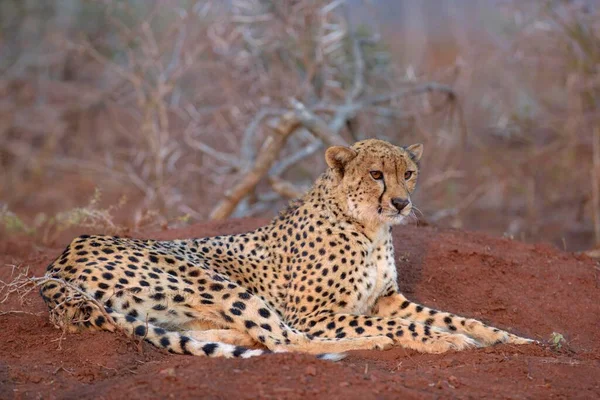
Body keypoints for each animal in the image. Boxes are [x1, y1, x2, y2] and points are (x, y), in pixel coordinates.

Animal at [39, 138, 532, 360]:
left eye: (407, 173)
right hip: (208, 278)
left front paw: (511, 338)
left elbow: (455, 316)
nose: (401, 203)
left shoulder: (389, 298)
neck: (368, 226)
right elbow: (406, 326)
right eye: (376, 174)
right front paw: (438, 340)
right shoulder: (315, 313)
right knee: (283, 341)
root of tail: (57, 263)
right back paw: (370, 342)